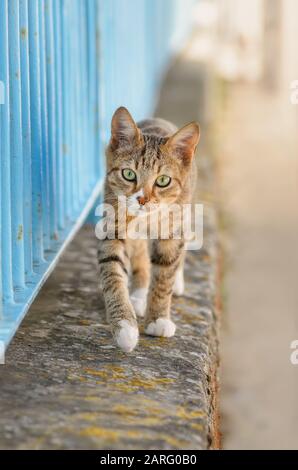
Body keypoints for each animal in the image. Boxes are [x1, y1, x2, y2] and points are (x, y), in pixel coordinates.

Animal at [98, 104, 200, 350]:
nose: (142, 199)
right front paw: (124, 327)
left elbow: (165, 273)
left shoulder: (173, 229)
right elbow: (113, 273)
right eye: (128, 174)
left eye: (163, 180)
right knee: (140, 256)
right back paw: (138, 295)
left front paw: (158, 319)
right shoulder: (113, 226)